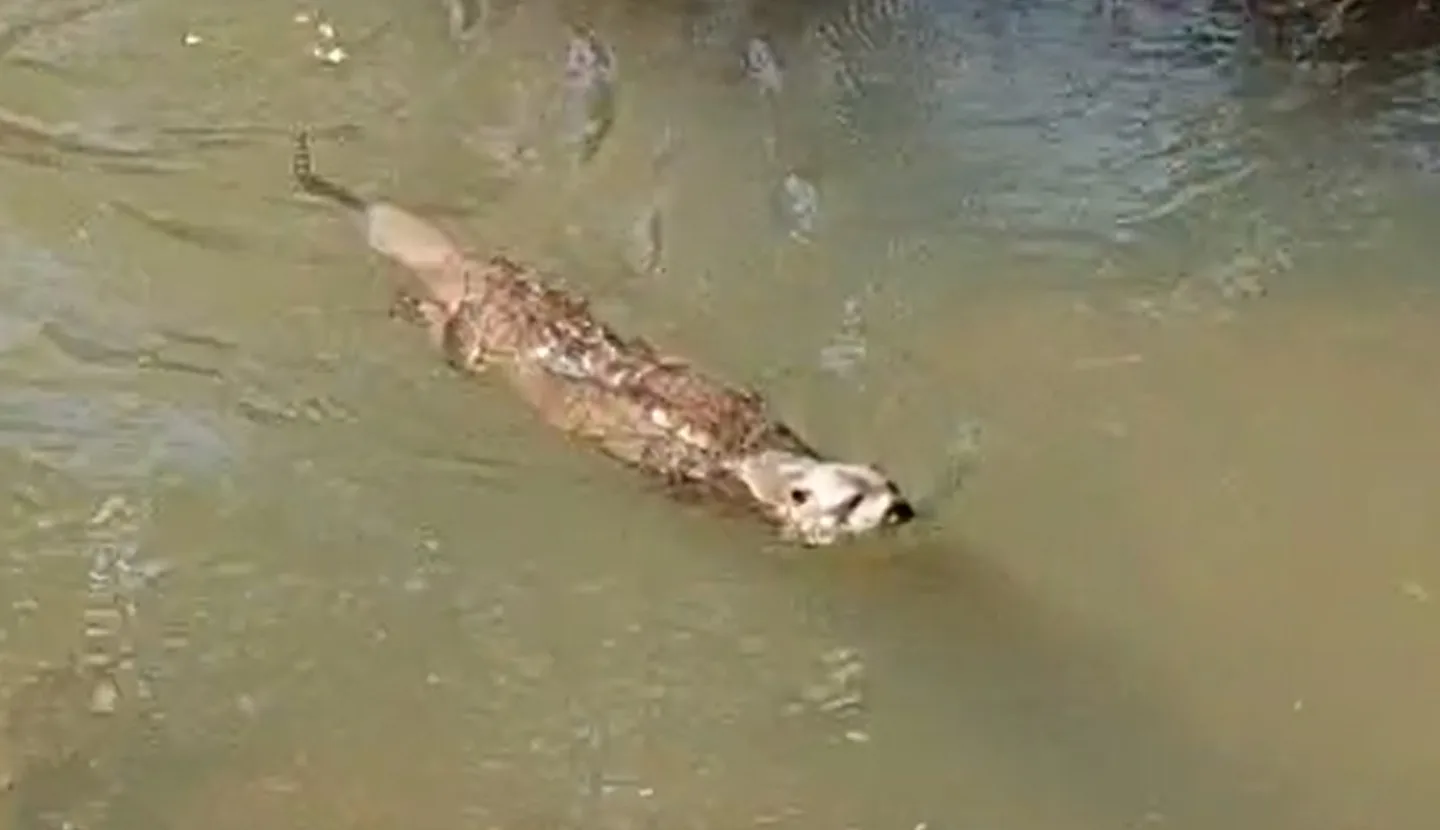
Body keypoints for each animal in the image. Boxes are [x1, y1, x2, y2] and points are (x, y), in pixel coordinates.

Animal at [288, 128, 910, 544]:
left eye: (885, 480)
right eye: (852, 499)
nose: (899, 508)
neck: (754, 461)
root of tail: (461, 266)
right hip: (465, 336)